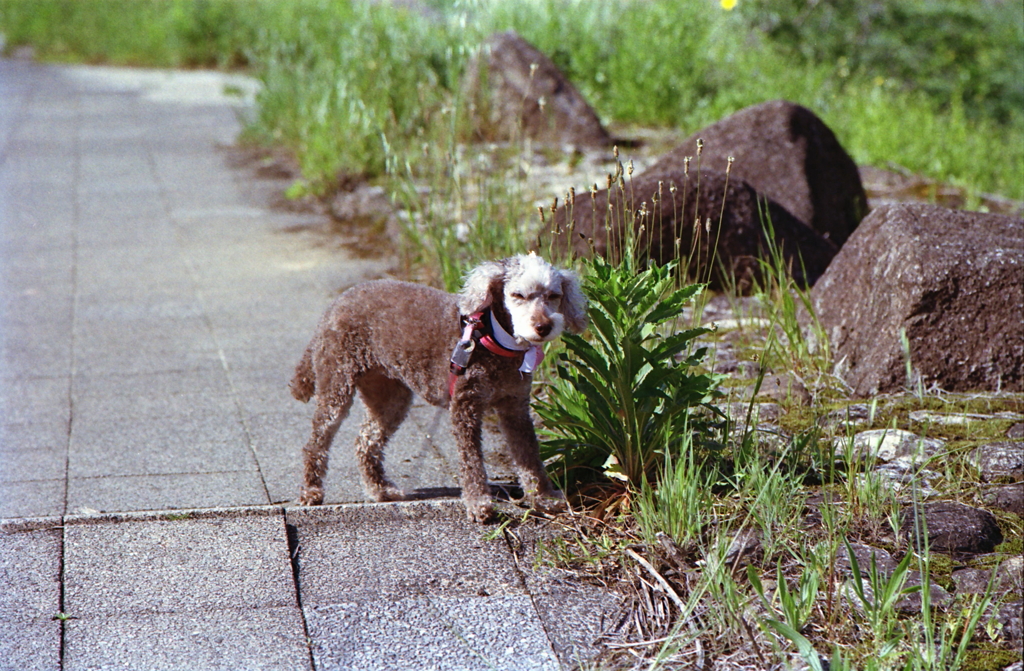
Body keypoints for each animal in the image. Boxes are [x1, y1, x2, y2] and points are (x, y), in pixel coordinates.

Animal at [292, 255, 589, 522]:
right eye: (517, 294)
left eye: (554, 295)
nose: (543, 326)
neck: (493, 340)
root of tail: (334, 305)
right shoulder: (465, 406)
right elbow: (471, 461)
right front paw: (479, 503)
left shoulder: (515, 407)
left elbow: (530, 456)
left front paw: (544, 497)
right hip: (337, 383)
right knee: (316, 442)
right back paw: (311, 491)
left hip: (390, 396)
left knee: (366, 440)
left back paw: (380, 489)